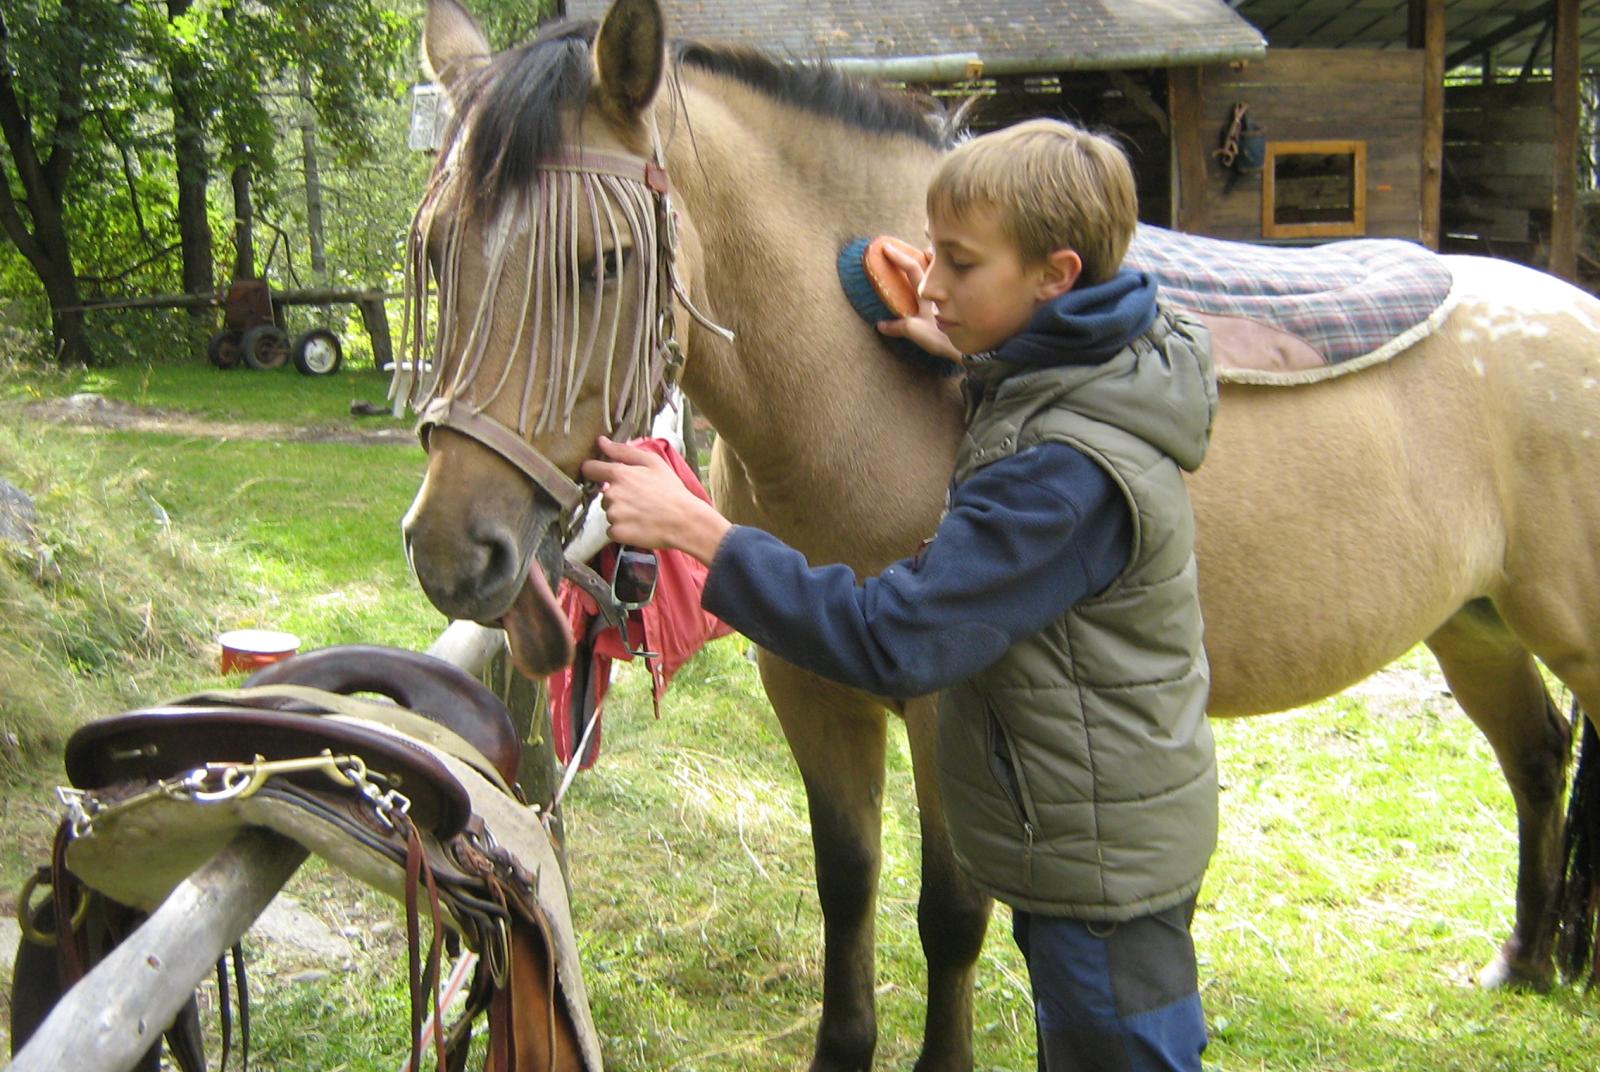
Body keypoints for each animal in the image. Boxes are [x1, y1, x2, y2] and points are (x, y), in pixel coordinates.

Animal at [396, 0, 1600, 1068]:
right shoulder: (812, 687)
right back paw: (1524, 960)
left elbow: (949, 918)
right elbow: (846, 887)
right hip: (1472, 624)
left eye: (602, 262)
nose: (455, 552)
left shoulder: (947, 703)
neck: (870, 372)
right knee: (1540, 756)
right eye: (436, 251)